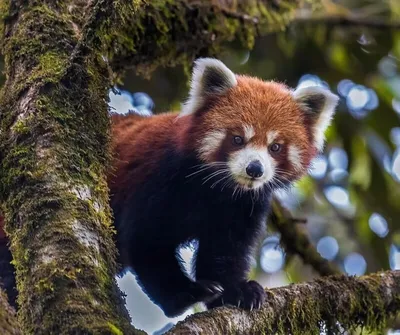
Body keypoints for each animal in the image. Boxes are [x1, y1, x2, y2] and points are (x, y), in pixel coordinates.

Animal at [108, 58, 338, 318]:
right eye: (238, 139)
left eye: (275, 147)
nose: (255, 169)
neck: (215, 189)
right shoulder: (157, 179)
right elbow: (146, 242)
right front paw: (186, 295)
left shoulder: (242, 206)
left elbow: (225, 251)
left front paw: (235, 291)